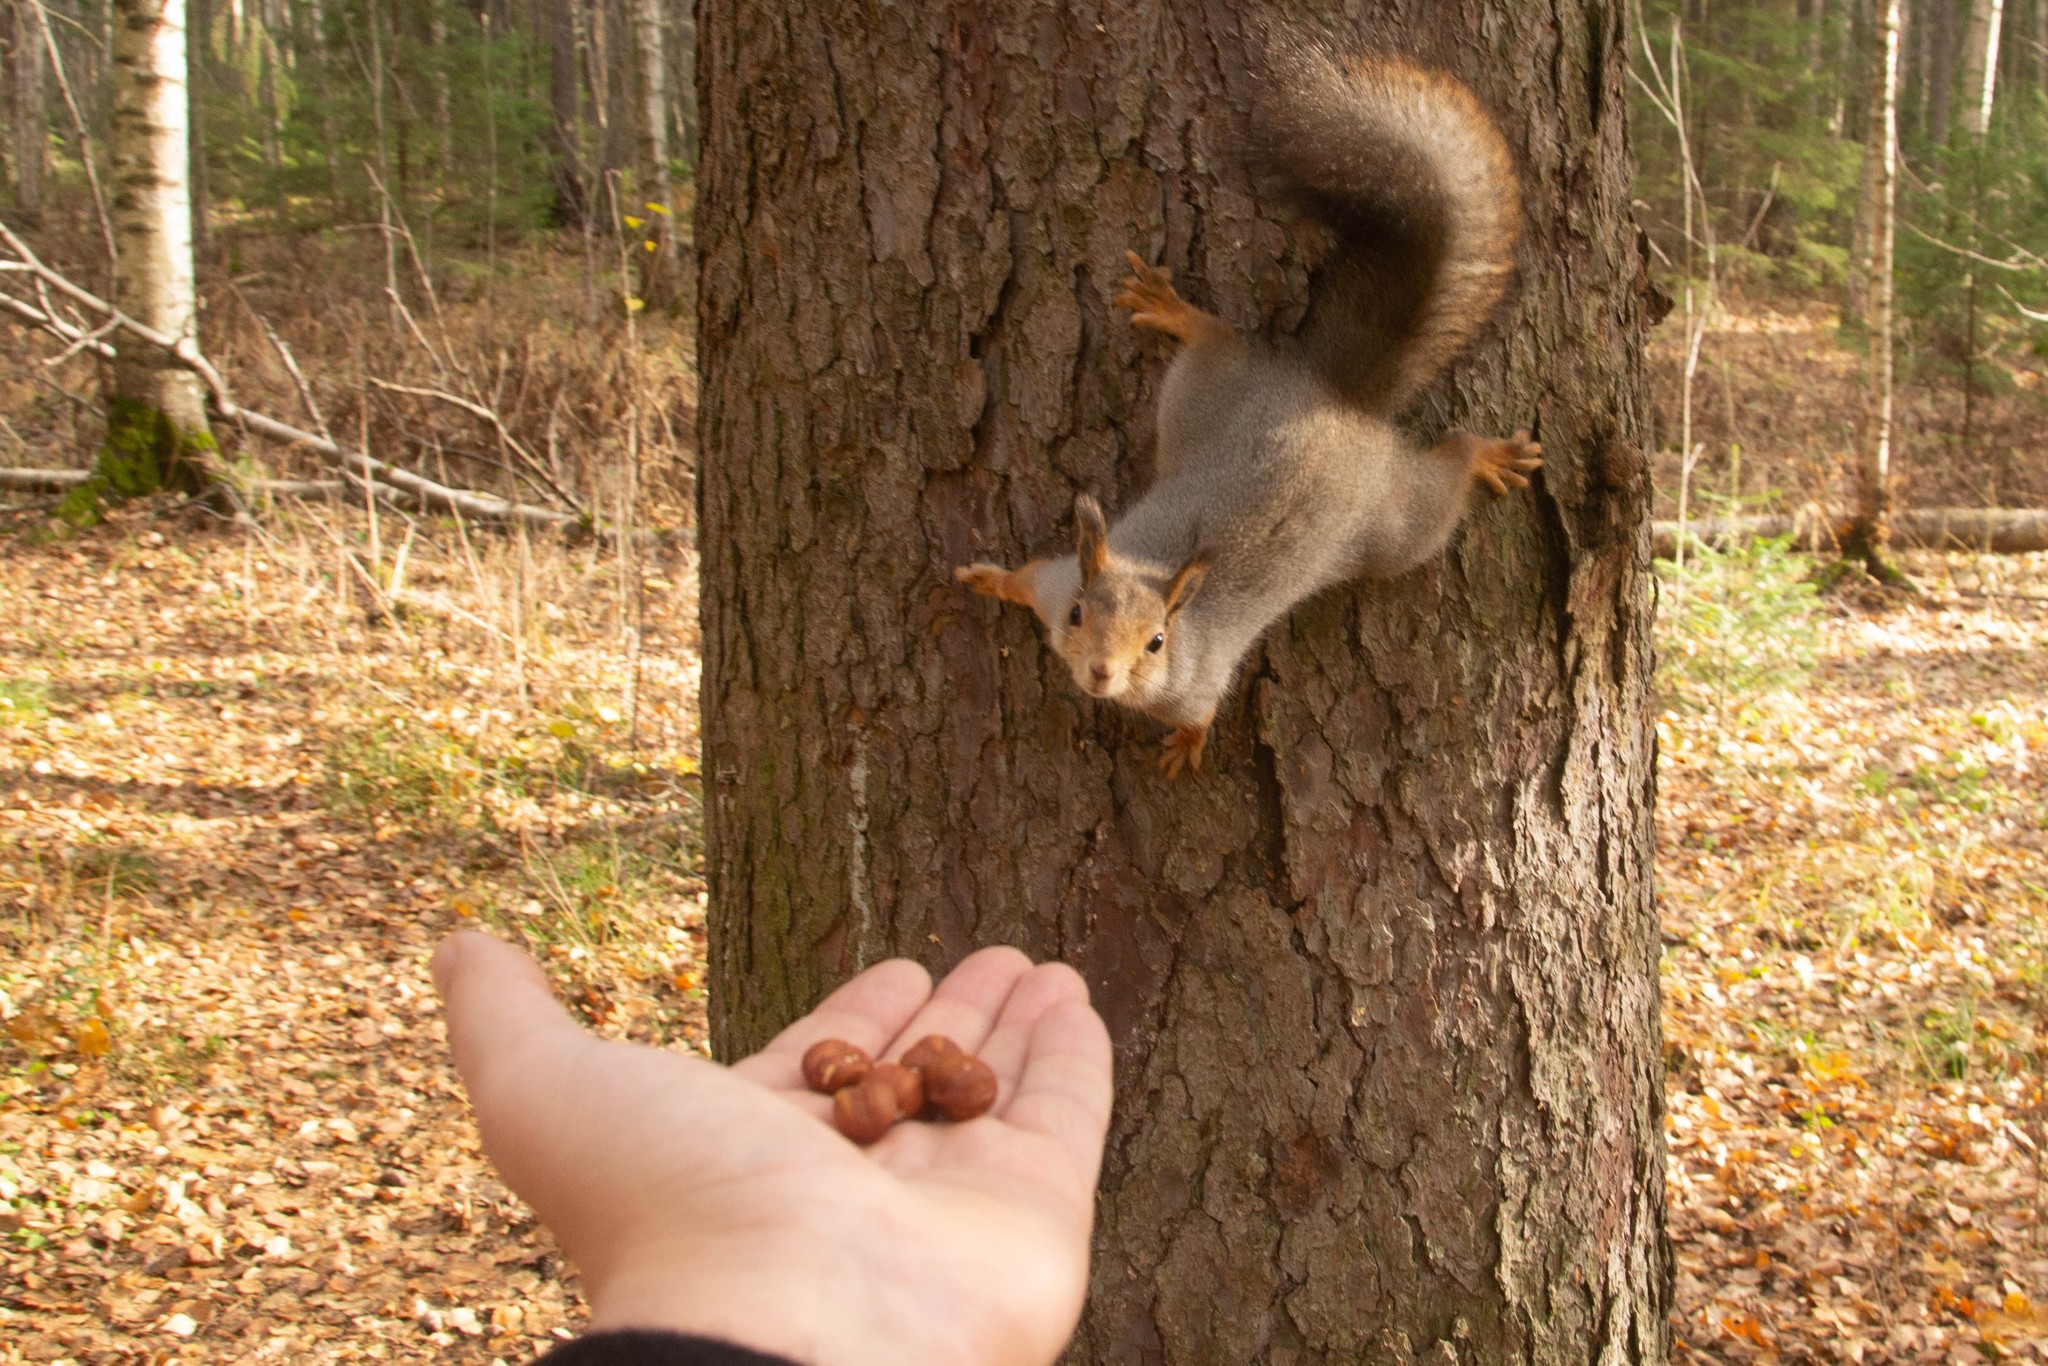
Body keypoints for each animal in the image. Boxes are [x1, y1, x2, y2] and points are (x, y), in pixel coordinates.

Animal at [950, 45, 1540, 778]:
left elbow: (1201, 712)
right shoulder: (1060, 583)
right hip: (1207, 390)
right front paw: (990, 578)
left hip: (1395, 522)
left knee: (1443, 468)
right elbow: (1027, 577)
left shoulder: (1198, 679)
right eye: (1081, 616)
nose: (1100, 675)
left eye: (1156, 642)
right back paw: (1172, 308)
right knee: (1216, 339)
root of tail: (1331, 395)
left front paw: (1187, 746)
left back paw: (1486, 454)